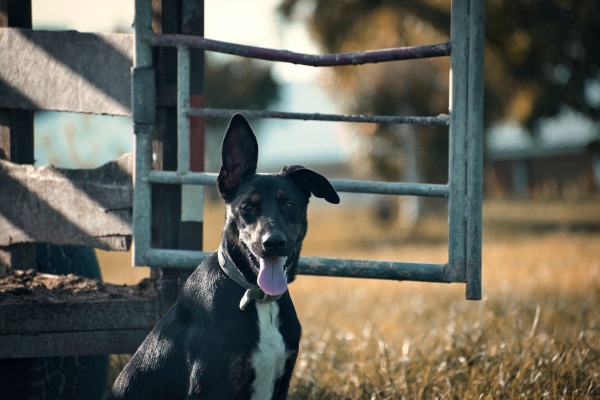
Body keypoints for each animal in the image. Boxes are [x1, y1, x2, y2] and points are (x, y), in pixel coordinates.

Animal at [108, 113, 340, 400]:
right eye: (247, 207)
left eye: (289, 205)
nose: (273, 243)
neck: (258, 299)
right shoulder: (210, 385)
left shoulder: (282, 381)